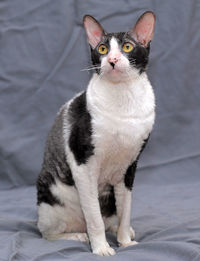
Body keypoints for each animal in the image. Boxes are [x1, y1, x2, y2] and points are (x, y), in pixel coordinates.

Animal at [37, 11, 156, 255]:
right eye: (102, 49)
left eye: (127, 47)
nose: (112, 60)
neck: (124, 98)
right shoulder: (84, 165)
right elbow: (93, 217)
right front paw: (101, 248)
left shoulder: (130, 166)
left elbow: (126, 210)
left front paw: (124, 242)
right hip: (51, 199)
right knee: (47, 233)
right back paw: (78, 235)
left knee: (113, 216)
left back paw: (123, 231)